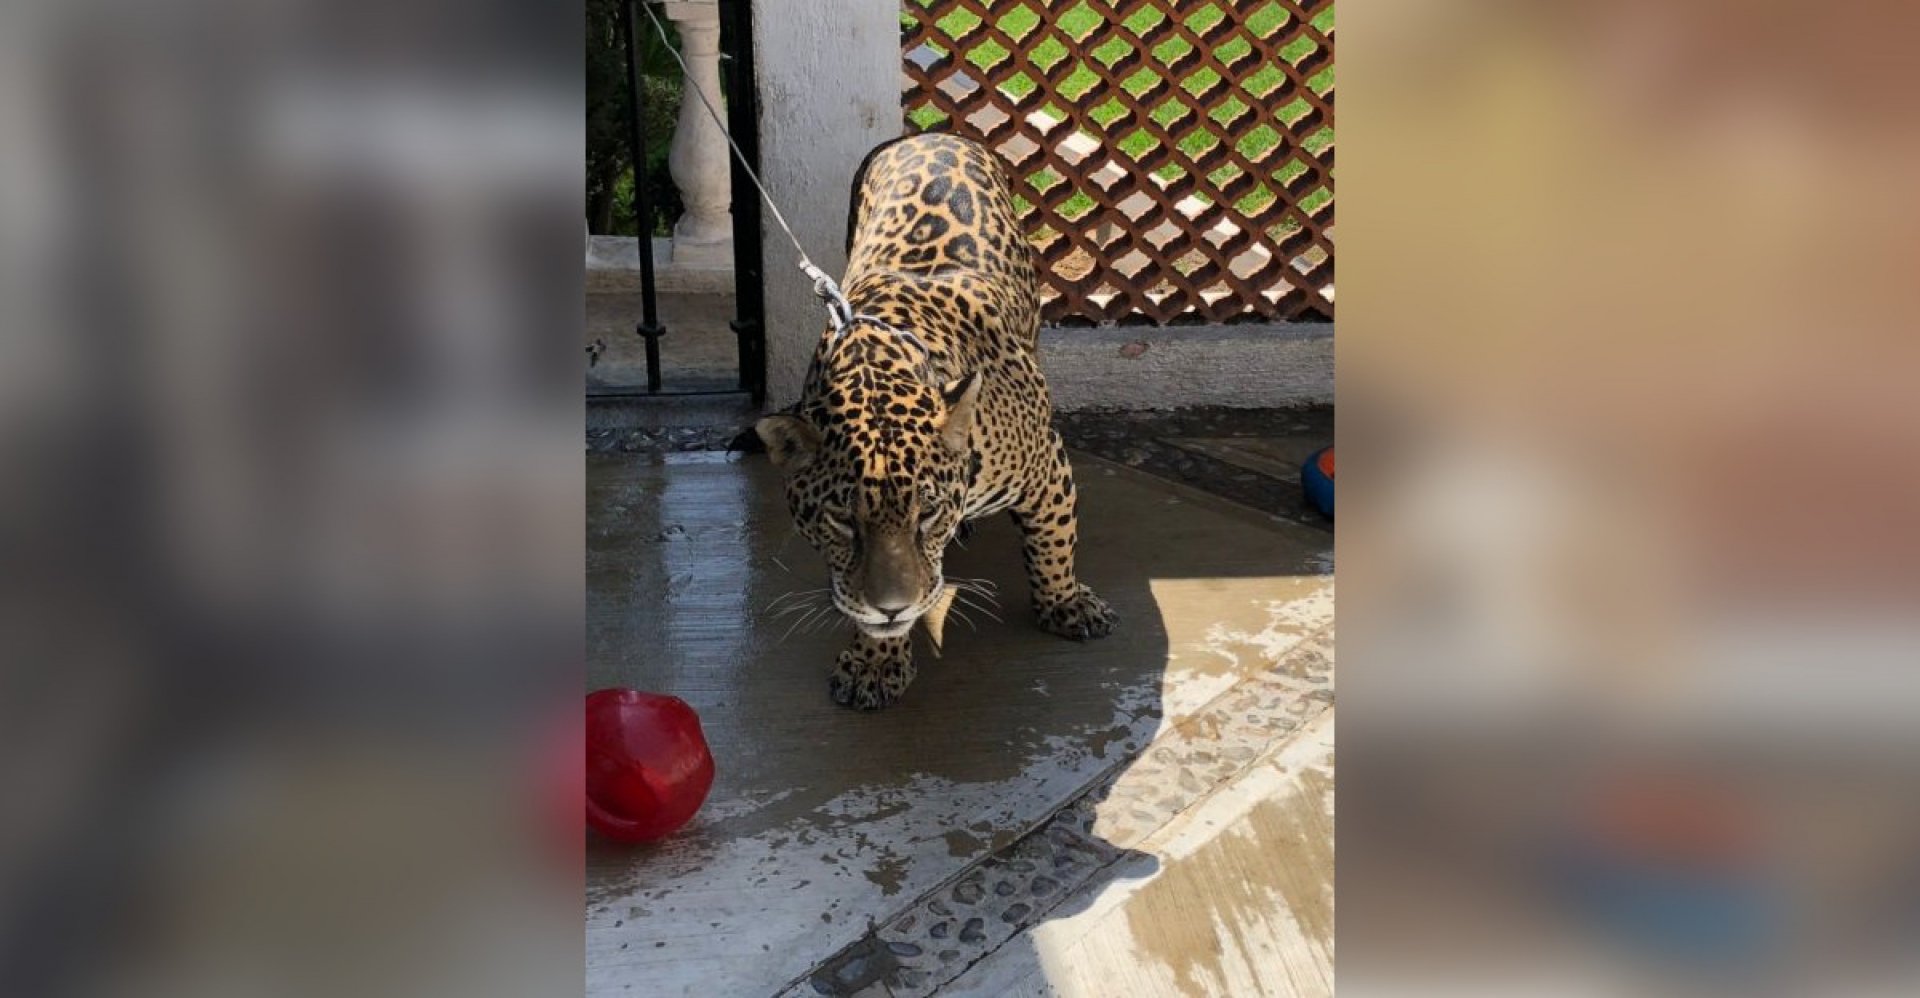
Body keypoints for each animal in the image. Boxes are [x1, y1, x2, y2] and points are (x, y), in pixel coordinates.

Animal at [755, 132, 1117, 711]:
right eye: (842, 520)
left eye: (925, 514)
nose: (892, 608)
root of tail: (927, 134)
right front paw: (875, 662)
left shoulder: (1049, 468)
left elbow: (1054, 542)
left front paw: (1065, 603)